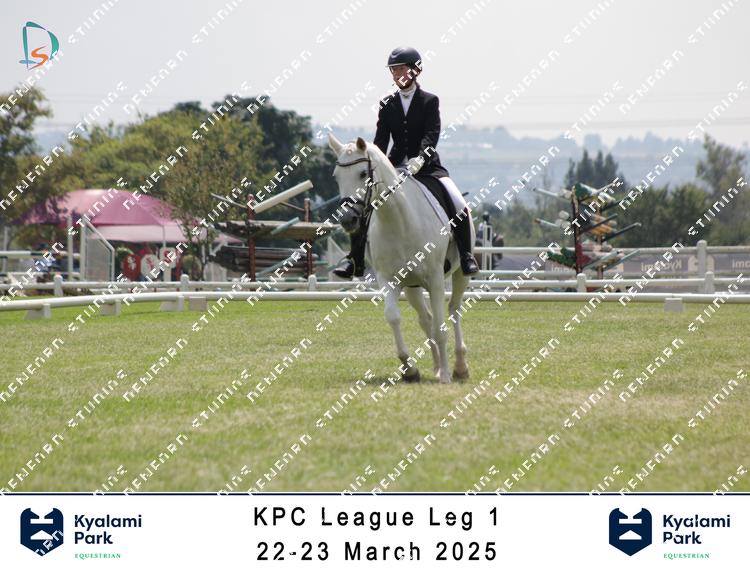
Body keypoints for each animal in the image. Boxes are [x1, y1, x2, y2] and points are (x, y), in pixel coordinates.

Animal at [328, 134, 474, 384]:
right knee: (426, 319)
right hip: (412, 286)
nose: (348, 220)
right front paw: (409, 369)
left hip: (459, 275)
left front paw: (446, 376)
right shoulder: (388, 279)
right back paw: (437, 366)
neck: (398, 221)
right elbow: (393, 317)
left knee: (453, 310)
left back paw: (459, 367)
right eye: (336, 176)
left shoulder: (436, 280)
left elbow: (441, 327)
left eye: (363, 174)